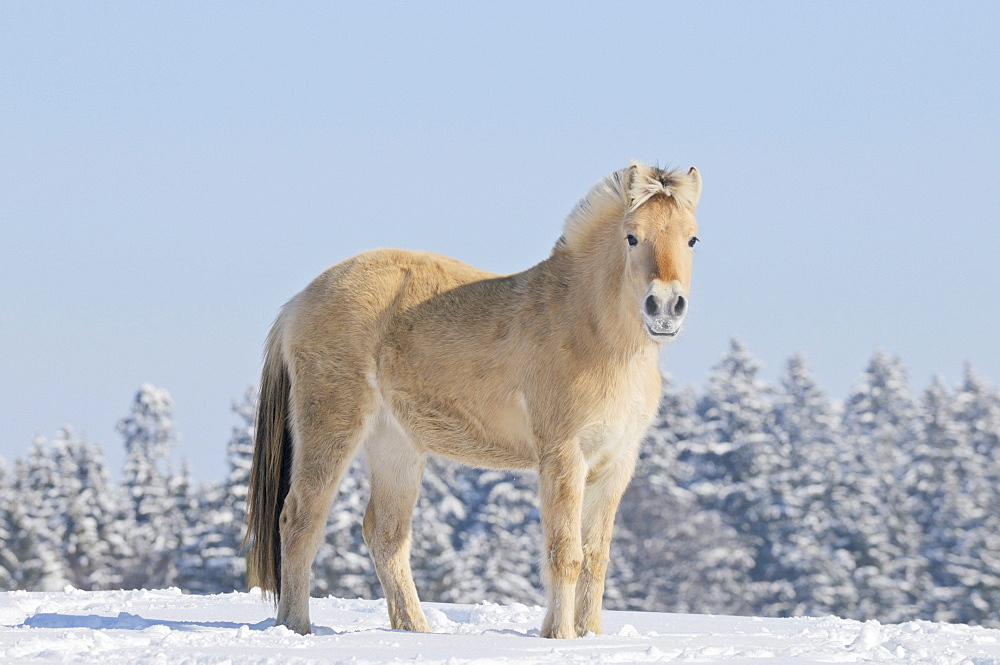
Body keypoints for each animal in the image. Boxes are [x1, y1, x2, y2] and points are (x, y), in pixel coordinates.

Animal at [246, 162, 704, 640]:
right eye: (631, 236)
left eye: (692, 238)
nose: (664, 307)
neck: (592, 334)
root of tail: (297, 303)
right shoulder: (564, 457)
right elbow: (565, 553)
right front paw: (559, 636)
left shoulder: (615, 465)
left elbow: (596, 558)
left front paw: (589, 636)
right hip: (332, 426)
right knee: (300, 518)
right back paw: (296, 627)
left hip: (395, 445)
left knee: (385, 533)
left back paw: (415, 629)